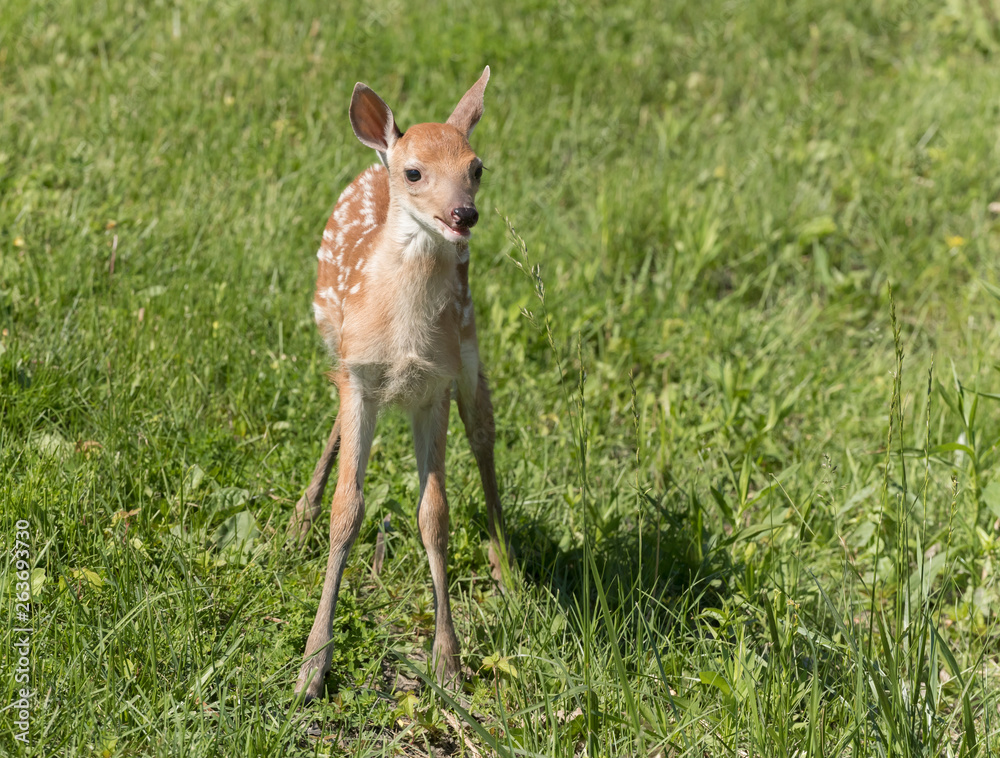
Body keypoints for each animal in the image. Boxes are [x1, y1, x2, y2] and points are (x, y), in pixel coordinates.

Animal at [289, 67, 510, 703]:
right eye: (414, 173)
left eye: (477, 166)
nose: (464, 215)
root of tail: (371, 163)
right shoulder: (359, 377)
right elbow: (348, 510)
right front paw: (312, 666)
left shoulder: (435, 386)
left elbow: (434, 515)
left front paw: (448, 662)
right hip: (339, 349)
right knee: (336, 431)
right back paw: (296, 521)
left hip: (470, 351)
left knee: (484, 436)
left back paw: (505, 565)